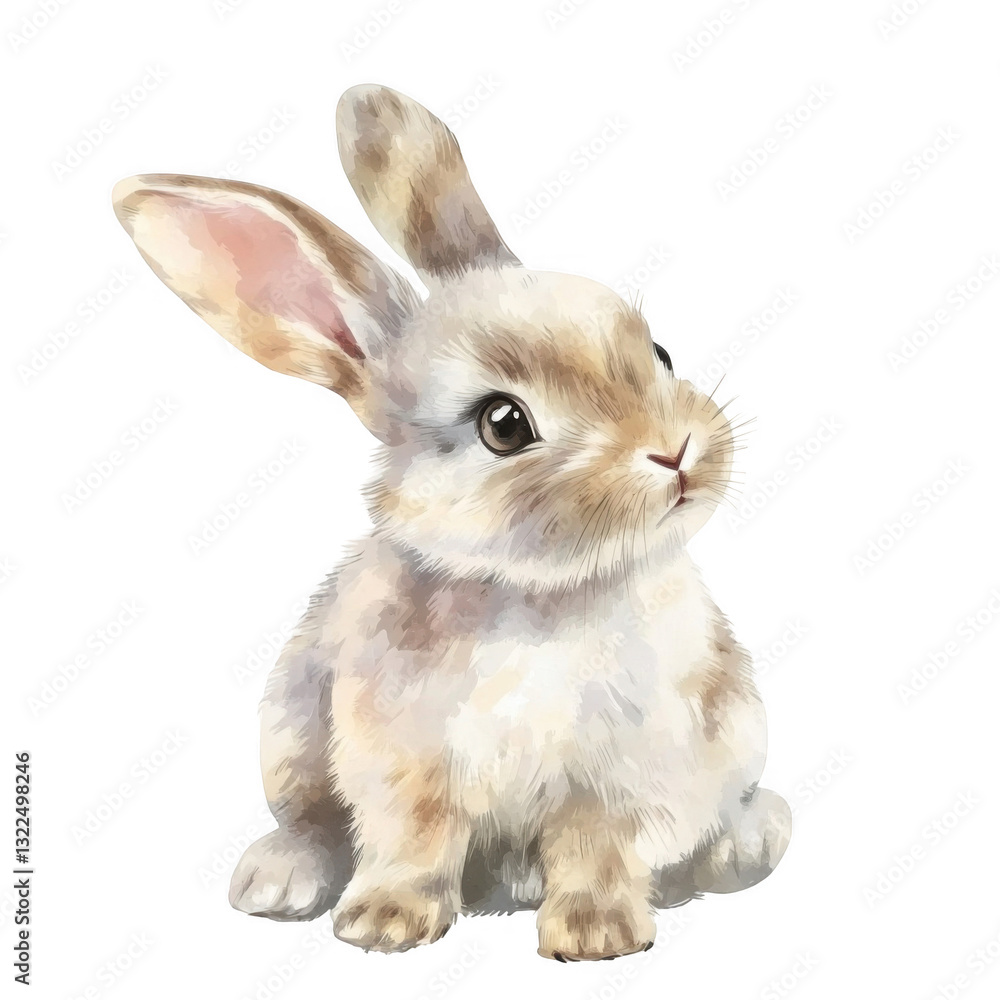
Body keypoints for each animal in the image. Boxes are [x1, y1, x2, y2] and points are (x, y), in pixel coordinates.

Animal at [112, 84, 791, 962]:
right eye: (503, 424)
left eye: (661, 354)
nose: (674, 453)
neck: (537, 596)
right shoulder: (402, 761)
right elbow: (415, 836)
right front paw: (384, 923)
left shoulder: (623, 769)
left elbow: (595, 845)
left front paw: (596, 934)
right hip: (289, 732)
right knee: (310, 822)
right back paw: (277, 879)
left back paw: (743, 846)